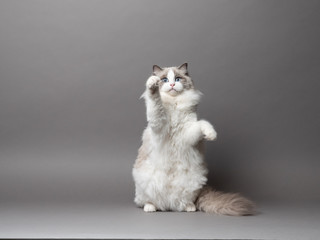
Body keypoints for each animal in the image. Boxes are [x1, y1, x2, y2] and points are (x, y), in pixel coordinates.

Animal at [131, 62, 255, 215]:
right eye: (164, 80)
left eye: (177, 79)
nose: (172, 84)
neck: (175, 103)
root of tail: (168, 206)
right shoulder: (159, 124)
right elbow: (155, 100)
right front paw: (152, 84)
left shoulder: (188, 132)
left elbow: (203, 124)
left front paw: (211, 135)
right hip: (145, 185)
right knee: (149, 201)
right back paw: (150, 207)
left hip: (193, 184)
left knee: (184, 202)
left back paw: (189, 207)